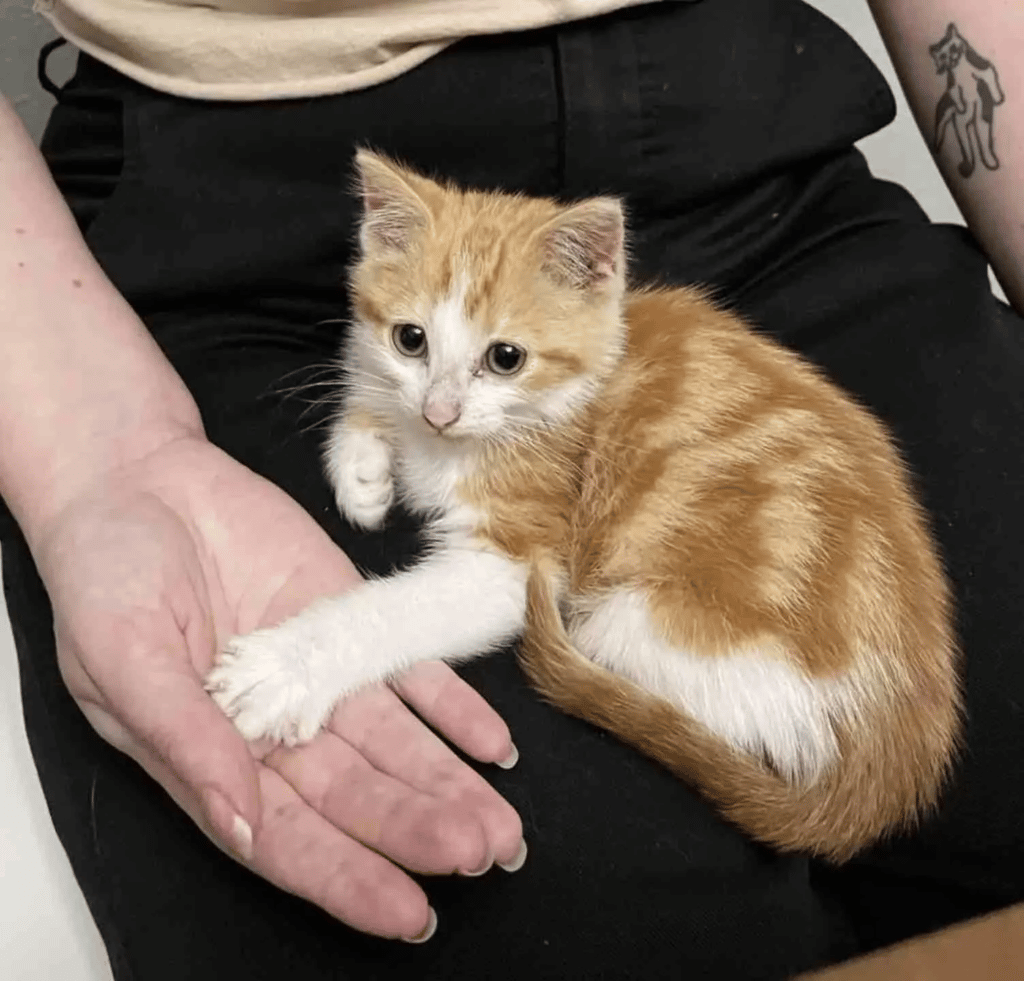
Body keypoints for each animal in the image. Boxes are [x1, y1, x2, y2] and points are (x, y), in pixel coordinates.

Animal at [207, 149, 958, 864]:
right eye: (410, 340)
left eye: (506, 358)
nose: (441, 412)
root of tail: (894, 767)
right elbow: (366, 390)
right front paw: (364, 471)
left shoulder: (521, 553)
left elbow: (396, 609)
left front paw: (283, 668)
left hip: (632, 620)